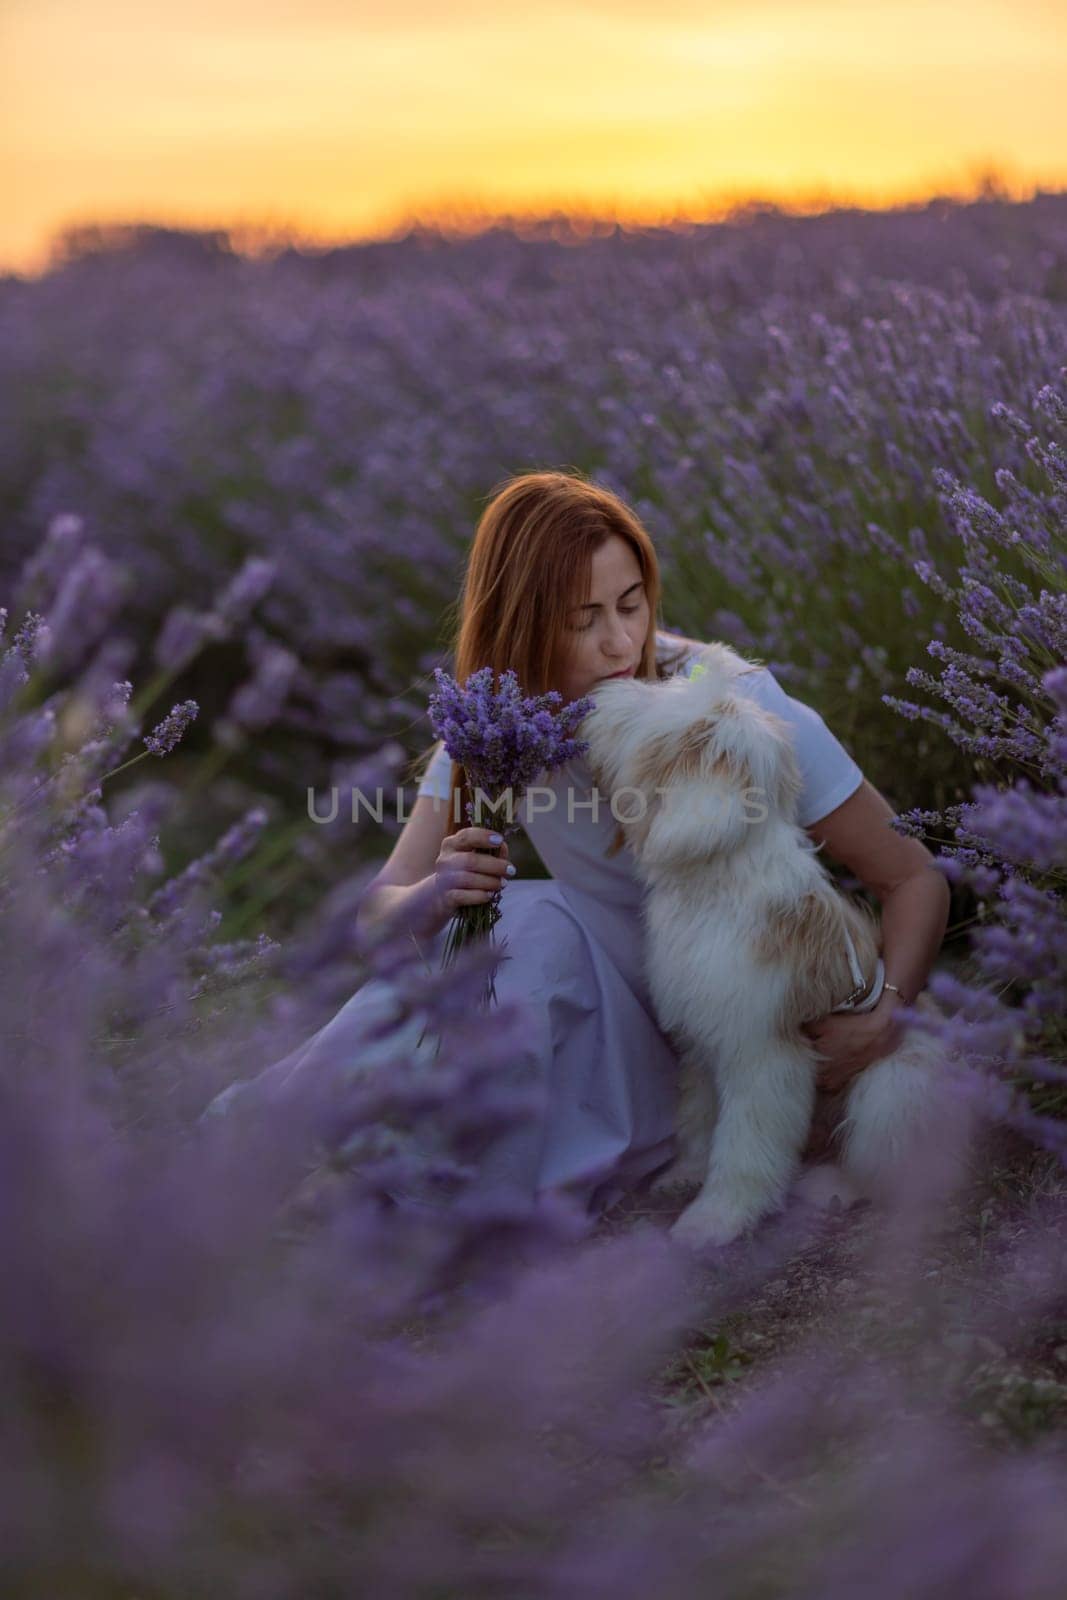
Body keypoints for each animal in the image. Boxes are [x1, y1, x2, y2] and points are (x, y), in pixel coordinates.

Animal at [579, 643, 966, 1241]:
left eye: (653, 716)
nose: (601, 696)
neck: (716, 881)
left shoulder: (761, 1053)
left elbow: (745, 1144)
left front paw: (713, 1221)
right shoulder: (701, 1038)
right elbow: (699, 1118)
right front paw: (684, 1175)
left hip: (892, 1089)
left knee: (886, 1169)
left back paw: (830, 1188)